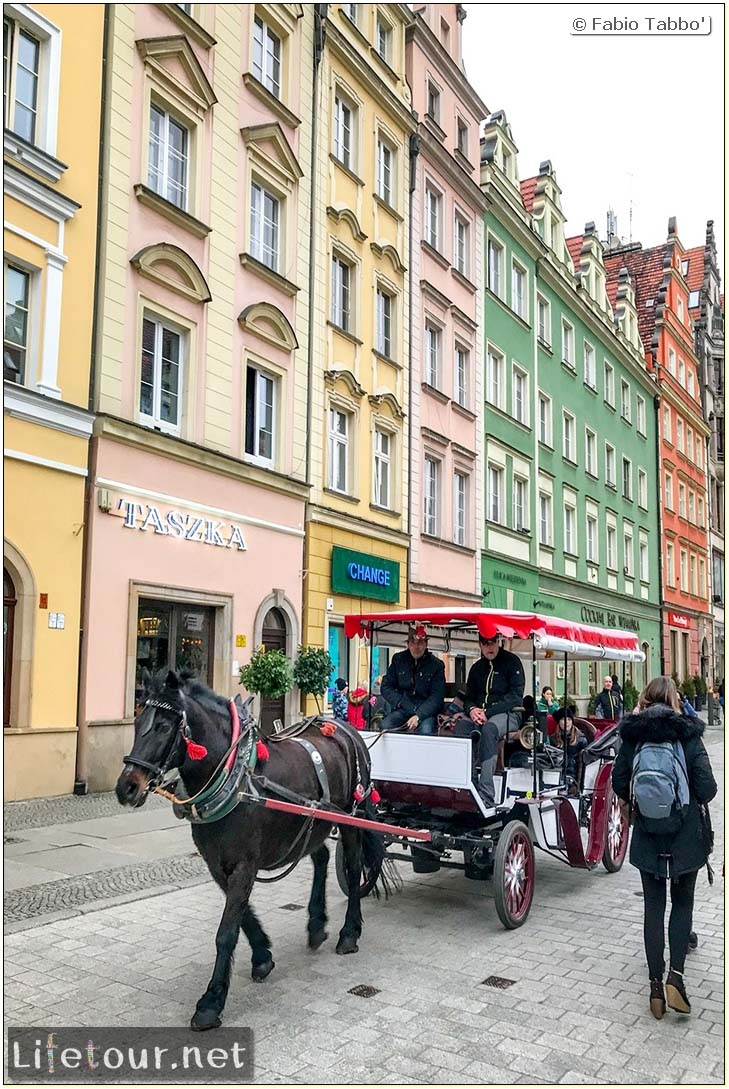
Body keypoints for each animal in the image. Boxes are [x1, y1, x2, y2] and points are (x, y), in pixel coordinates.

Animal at [114, 666, 381, 1032]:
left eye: (165, 727)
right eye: (138, 720)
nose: (127, 787)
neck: (236, 778)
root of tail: (346, 730)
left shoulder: (244, 864)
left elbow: (226, 931)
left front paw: (211, 1002)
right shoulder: (217, 863)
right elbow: (241, 916)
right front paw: (262, 956)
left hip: (352, 816)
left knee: (353, 870)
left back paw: (349, 933)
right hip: (312, 820)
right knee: (322, 857)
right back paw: (316, 924)